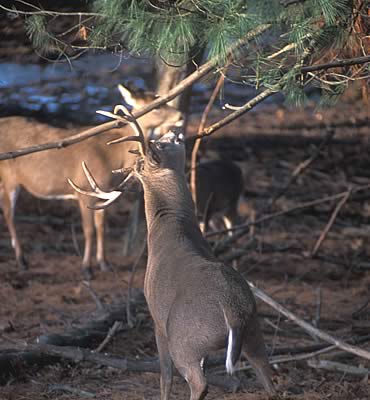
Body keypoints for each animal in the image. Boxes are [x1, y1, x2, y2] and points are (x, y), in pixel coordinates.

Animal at [0, 85, 182, 278]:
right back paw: (22, 260)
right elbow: (89, 230)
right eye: (157, 106)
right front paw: (86, 268)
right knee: (9, 212)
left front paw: (104, 263)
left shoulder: (105, 192)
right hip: (9, 176)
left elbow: (101, 227)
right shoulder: (84, 190)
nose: (180, 116)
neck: (113, 156)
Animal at [69, 106, 276, 400]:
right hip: (253, 329)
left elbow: (164, 378)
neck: (170, 228)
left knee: (198, 382)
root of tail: (233, 309)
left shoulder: (156, 317)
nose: (175, 130)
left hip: (184, 339)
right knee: (268, 376)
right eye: (163, 143)